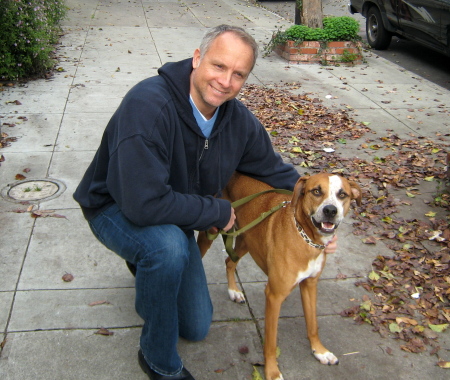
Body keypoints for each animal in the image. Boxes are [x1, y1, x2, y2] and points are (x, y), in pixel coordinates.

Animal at [197, 172, 362, 380]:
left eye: (342, 194)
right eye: (316, 191)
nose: (330, 210)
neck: (306, 238)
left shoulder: (310, 286)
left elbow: (313, 324)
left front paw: (320, 351)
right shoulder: (274, 296)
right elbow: (270, 341)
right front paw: (272, 372)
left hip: (246, 240)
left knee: (229, 261)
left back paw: (234, 291)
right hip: (209, 233)